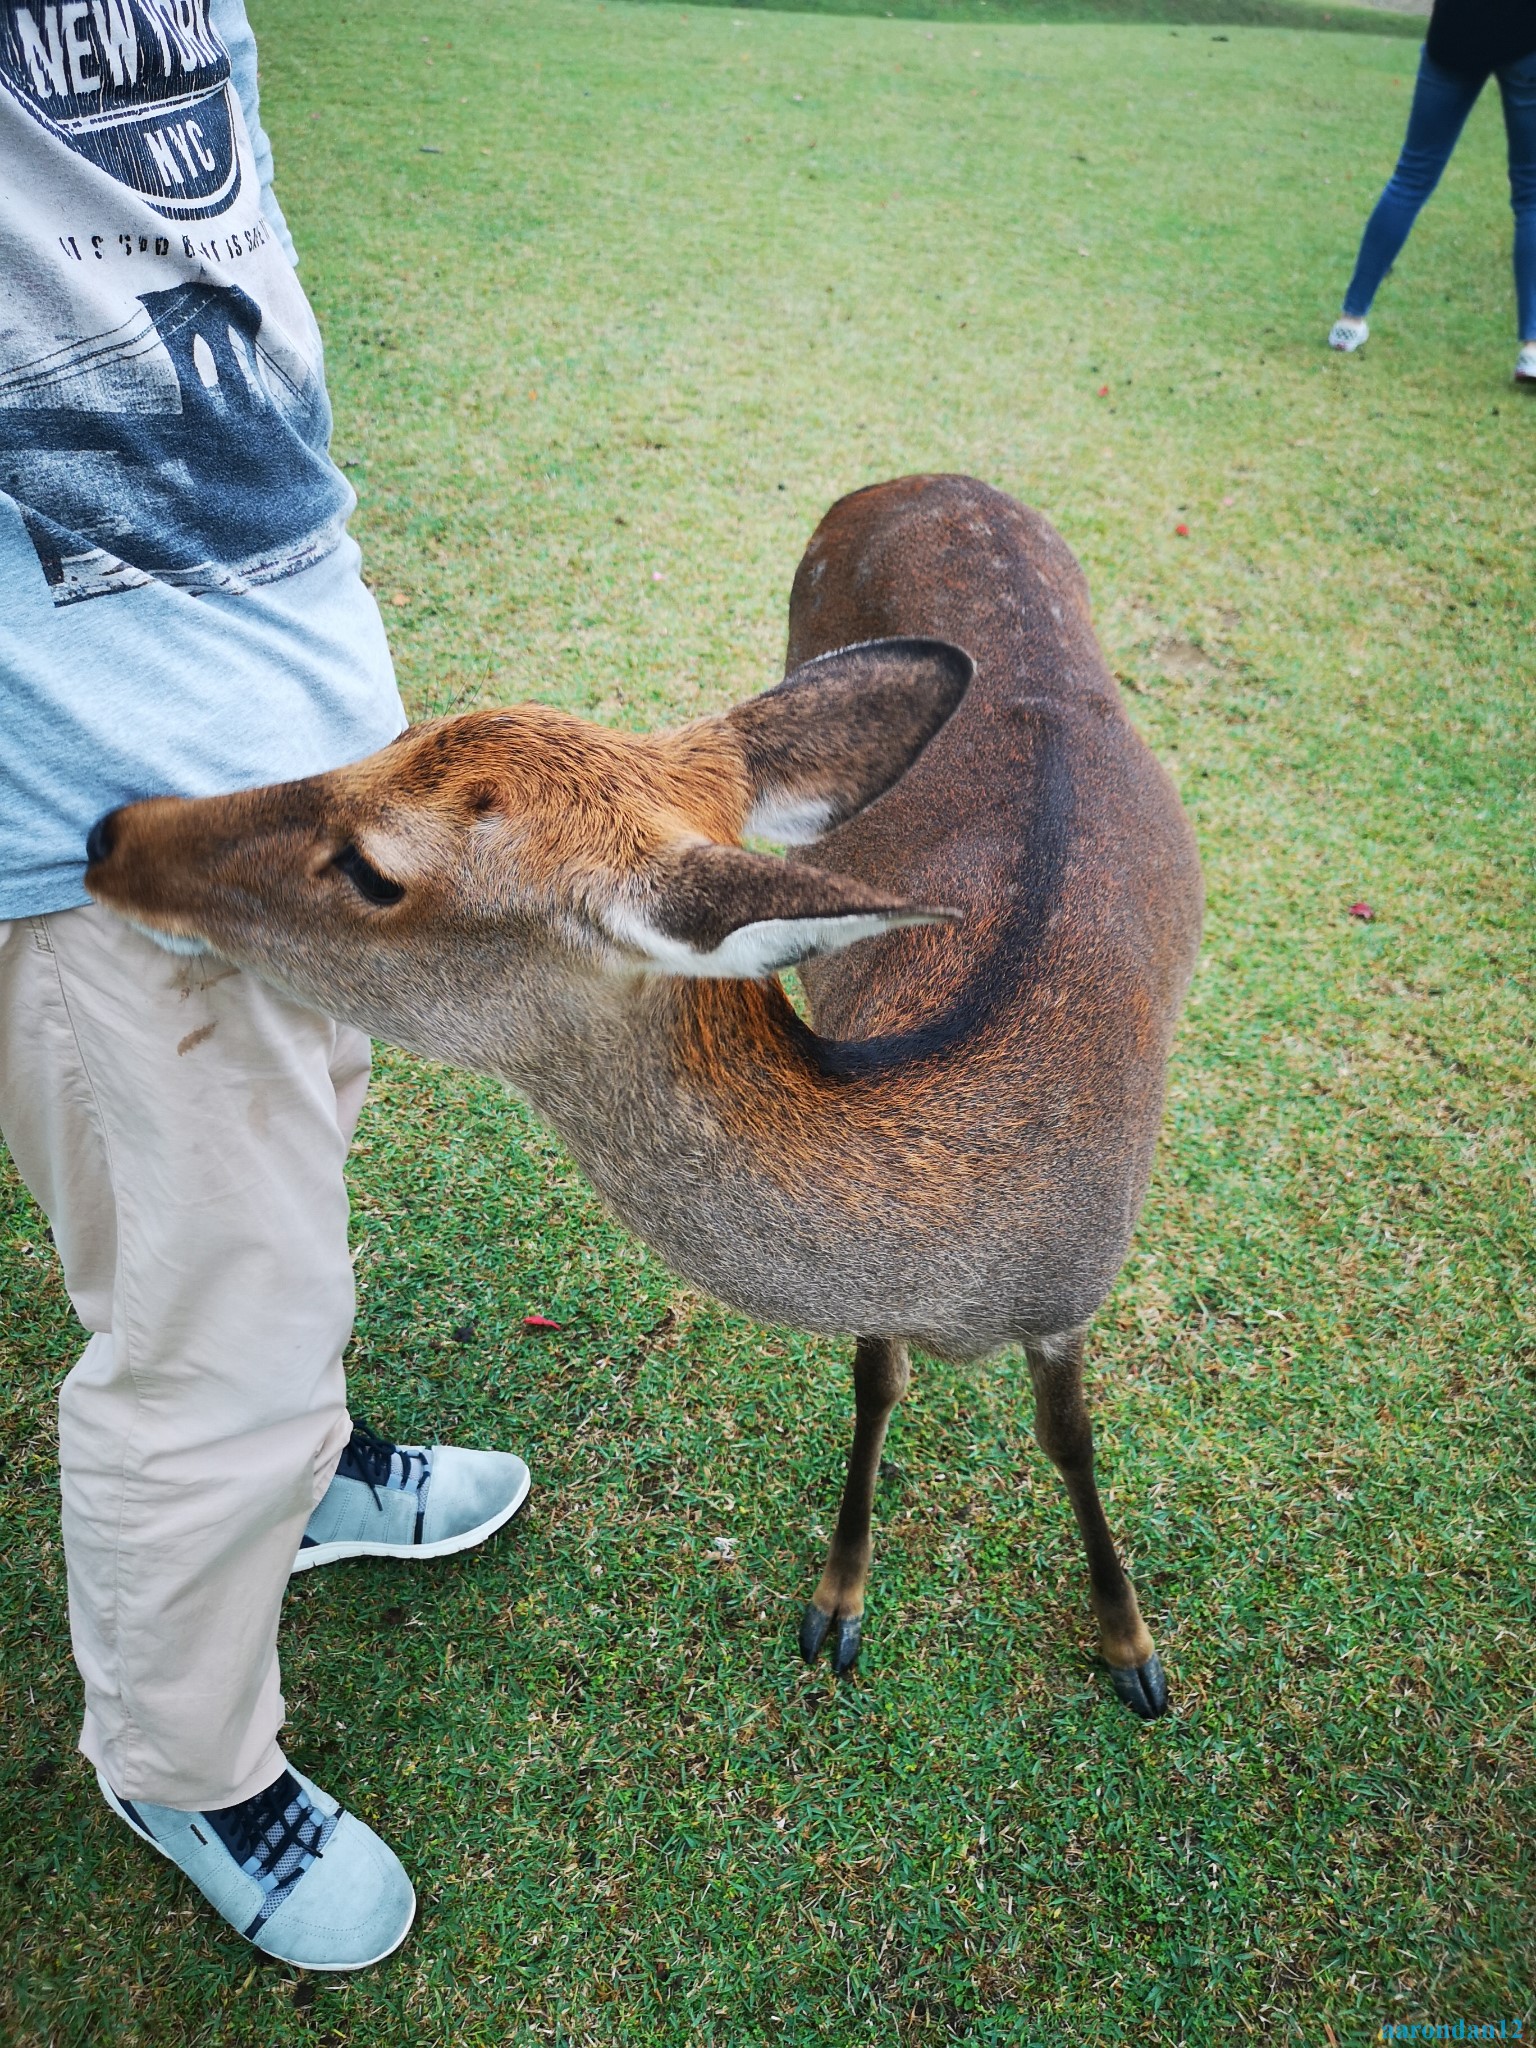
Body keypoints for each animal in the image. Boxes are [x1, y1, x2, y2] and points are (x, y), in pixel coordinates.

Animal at [83, 475, 1212, 1712]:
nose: (113, 831)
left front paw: (1133, 1649)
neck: (968, 1271)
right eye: (394, 734)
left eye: (377, 869)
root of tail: (925, 480)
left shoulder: (1076, 1294)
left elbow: (1071, 1439)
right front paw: (837, 1603)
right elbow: (875, 1378)